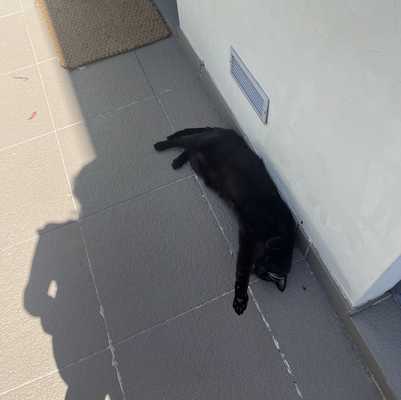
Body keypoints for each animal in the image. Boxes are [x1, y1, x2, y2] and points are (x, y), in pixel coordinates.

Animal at [155, 128, 296, 316]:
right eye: (267, 263)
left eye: (265, 275)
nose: (257, 270)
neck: (278, 228)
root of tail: (226, 130)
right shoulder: (248, 236)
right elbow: (242, 267)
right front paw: (240, 298)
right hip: (203, 141)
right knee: (184, 141)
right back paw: (162, 145)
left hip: (199, 162)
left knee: (190, 150)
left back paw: (178, 161)